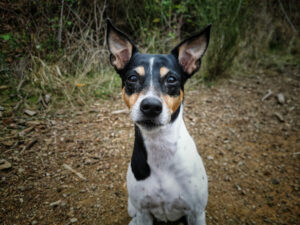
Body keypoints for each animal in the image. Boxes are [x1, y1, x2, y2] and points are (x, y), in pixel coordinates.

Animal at [106, 19, 210, 225]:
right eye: (132, 78)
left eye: (171, 79)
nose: (151, 106)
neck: (160, 148)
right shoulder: (143, 212)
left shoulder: (196, 213)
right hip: (133, 209)